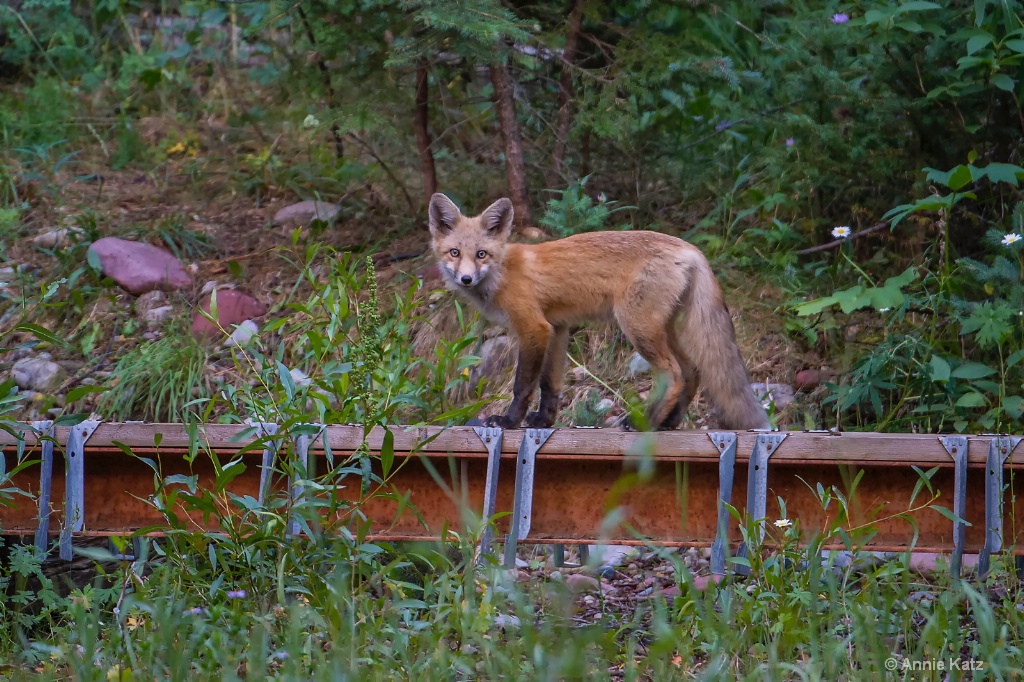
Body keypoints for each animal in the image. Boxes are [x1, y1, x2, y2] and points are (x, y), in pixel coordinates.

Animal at [428, 189, 770, 430]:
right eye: (454, 253)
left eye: (481, 254)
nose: (466, 278)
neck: (502, 273)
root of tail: (690, 248)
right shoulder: (557, 328)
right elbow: (549, 384)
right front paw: (543, 421)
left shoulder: (533, 328)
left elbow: (523, 385)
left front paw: (509, 422)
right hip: (664, 329)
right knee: (692, 371)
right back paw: (669, 422)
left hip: (636, 326)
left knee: (673, 374)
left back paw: (644, 423)